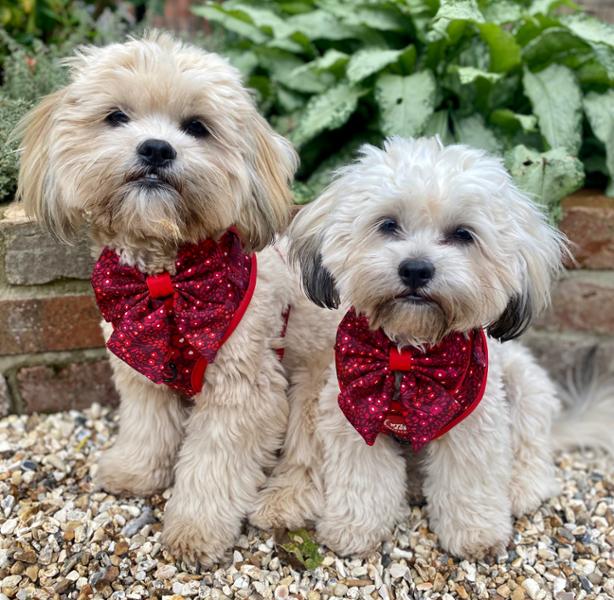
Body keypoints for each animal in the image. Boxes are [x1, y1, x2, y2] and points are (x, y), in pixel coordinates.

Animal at [16, 32, 312, 564]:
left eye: (196, 126)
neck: (168, 281)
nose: (156, 148)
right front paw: (134, 472)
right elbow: (148, 425)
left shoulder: (243, 391)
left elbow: (214, 465)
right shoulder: (140, 366)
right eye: (116, 116)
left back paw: (281, 503)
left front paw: (195, 529)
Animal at [253, 138, 612, 560]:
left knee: (532, 448)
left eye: (463, 234)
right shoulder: (353, 414)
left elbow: (467, 481)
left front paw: (475, 534)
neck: (406, 355)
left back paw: (521, 487)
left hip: (525, 385)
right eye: (388, 224)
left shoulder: (473, 423)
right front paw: (354, 529)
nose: (416, 268)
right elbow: (363, 480)